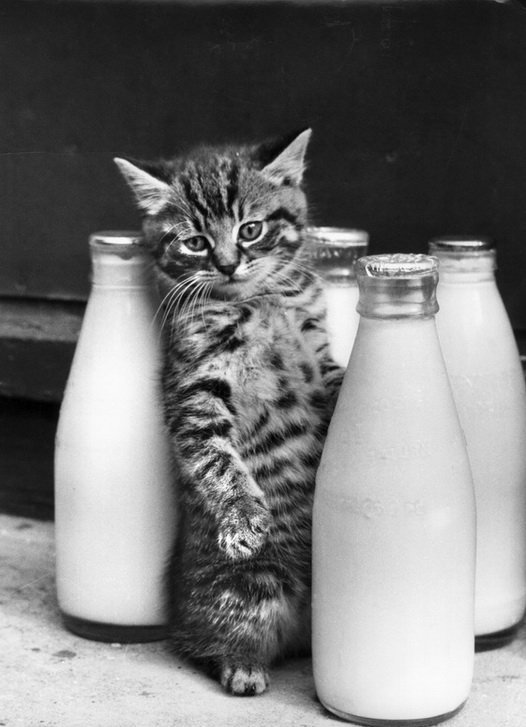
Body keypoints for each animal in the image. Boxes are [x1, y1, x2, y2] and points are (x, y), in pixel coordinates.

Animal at [114, 128, 344, 696]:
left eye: (251, 229)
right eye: (195, 242)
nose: (226, 264)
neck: (258, 300)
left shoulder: (318, 346)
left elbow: (338, 377)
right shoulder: (194, 387)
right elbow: (214, 458)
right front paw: (242, 516)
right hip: (250, 586)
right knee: (209, 640)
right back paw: (242, 667)